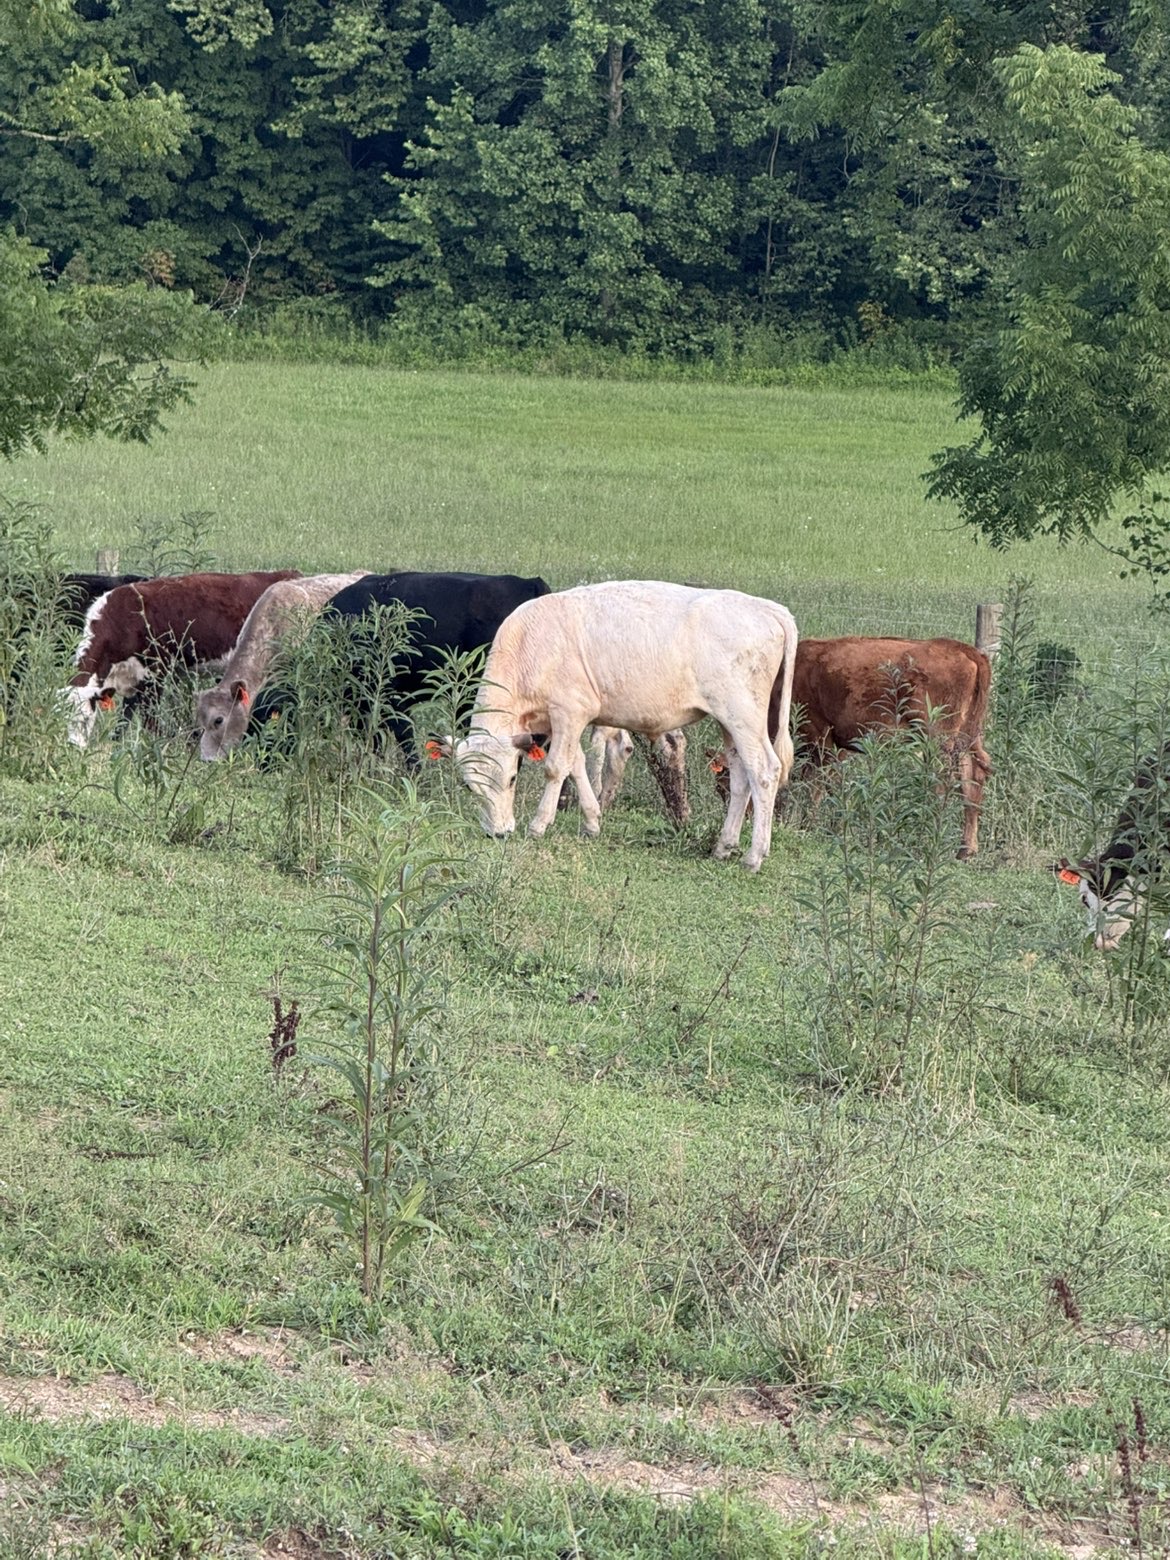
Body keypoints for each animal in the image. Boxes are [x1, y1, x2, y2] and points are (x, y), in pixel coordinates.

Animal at [63, 569, 302, 747]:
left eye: (85, 719)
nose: (73, 747)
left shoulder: (155, 674)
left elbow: (150, 719)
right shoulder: (134, 678)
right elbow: (125, 719)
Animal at [450, 581, 798, 871]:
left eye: (512, 779)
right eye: (469, 787)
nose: (498, 832)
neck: (531, 645)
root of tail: (768, 608)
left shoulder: (570, 711)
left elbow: (556, 767)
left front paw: (539, 824)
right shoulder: (560, 722)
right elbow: (576, 764)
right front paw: (592, 822)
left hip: (744, 716)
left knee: (764, 771)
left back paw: (754, 856)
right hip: (730, 724)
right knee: (740, 776)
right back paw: (724, 846)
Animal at [595, 635, 993, 860]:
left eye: (723, 786)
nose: (742, 815)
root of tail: (968, 651)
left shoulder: (817, 736)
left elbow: (813, 783)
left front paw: (804, 822)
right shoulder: (836, 743)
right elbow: (827, 783)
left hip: (938, 738)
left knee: (945, 782)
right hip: (970, 739)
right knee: (975, 776)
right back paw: (966, 848)